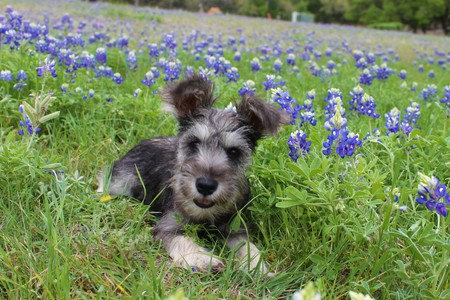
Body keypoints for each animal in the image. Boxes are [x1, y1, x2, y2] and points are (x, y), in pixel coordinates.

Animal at [98, 74, 284, 274]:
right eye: (194, 143)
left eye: (234, 152)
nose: (205, 185)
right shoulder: (168, 225)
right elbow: (182, 240)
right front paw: (202, 258)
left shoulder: (236, 227)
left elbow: (247, 246)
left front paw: (258, 268)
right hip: (122, 181)